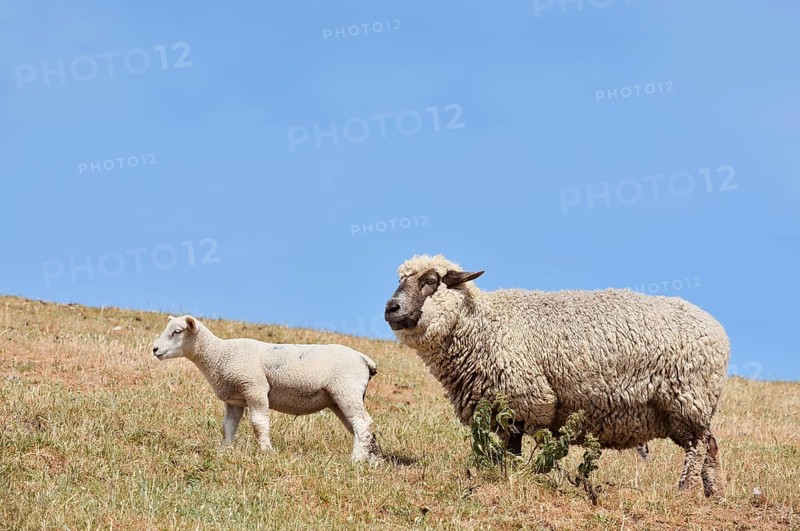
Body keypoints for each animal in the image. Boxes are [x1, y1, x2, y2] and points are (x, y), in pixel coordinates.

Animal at [151, 315, 382, 464]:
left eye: (177, 332)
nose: (154, 349)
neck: (219, 355)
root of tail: (364, 359)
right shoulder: (234, 399)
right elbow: (228, 426)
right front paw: (224, 450)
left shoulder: (254, 387)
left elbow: (258, 423)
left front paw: (266, 451)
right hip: (339, 399)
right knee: (360, 427)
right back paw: (370, 459)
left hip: (346, 389)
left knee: (362, 423)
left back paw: (355, 460)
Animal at [384, 254, 730, 496]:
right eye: (400, 279)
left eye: (431, 280)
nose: (391, 308)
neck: (482, 323)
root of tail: (718, 331)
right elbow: (509, 446)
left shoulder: (526, 398)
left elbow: (520, 444)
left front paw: (519, 475)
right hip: (680, 409)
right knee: (710, 445)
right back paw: (713, 493)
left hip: (687, 397)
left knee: (699, 444)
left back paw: (686, 489)